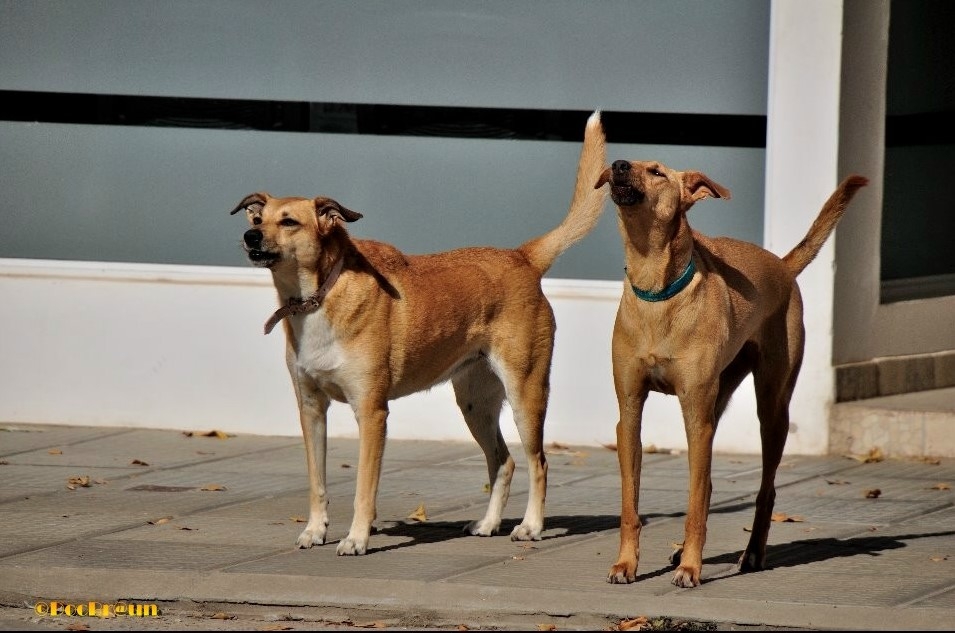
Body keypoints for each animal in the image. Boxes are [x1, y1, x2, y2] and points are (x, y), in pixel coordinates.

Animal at [230, 112, 604, 552]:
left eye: (289, 222)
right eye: (257, 219)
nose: (250, 236)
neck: (319, 296)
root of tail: (522, 257)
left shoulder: (371, 412)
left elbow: (363, 488)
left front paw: (357, 538)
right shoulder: (311, 409)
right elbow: (317, 481)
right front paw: (315, 530)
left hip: (525, 394)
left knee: (538, 461)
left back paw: (530, 527)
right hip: (475, 402)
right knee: (504, 461)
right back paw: (488, 523)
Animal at [596, 159, 868, 588]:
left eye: (656, 171)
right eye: (624, 163)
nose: (619, 165)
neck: (657, 290)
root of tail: (781, 265)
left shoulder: (696, 415)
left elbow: (694, 506)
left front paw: (691, 568)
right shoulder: (630, 412)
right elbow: (630, 504)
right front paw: (626, 564)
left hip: (770, 409)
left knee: (762, 490)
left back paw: (751, 552)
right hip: (718, 401)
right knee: (706, 486)